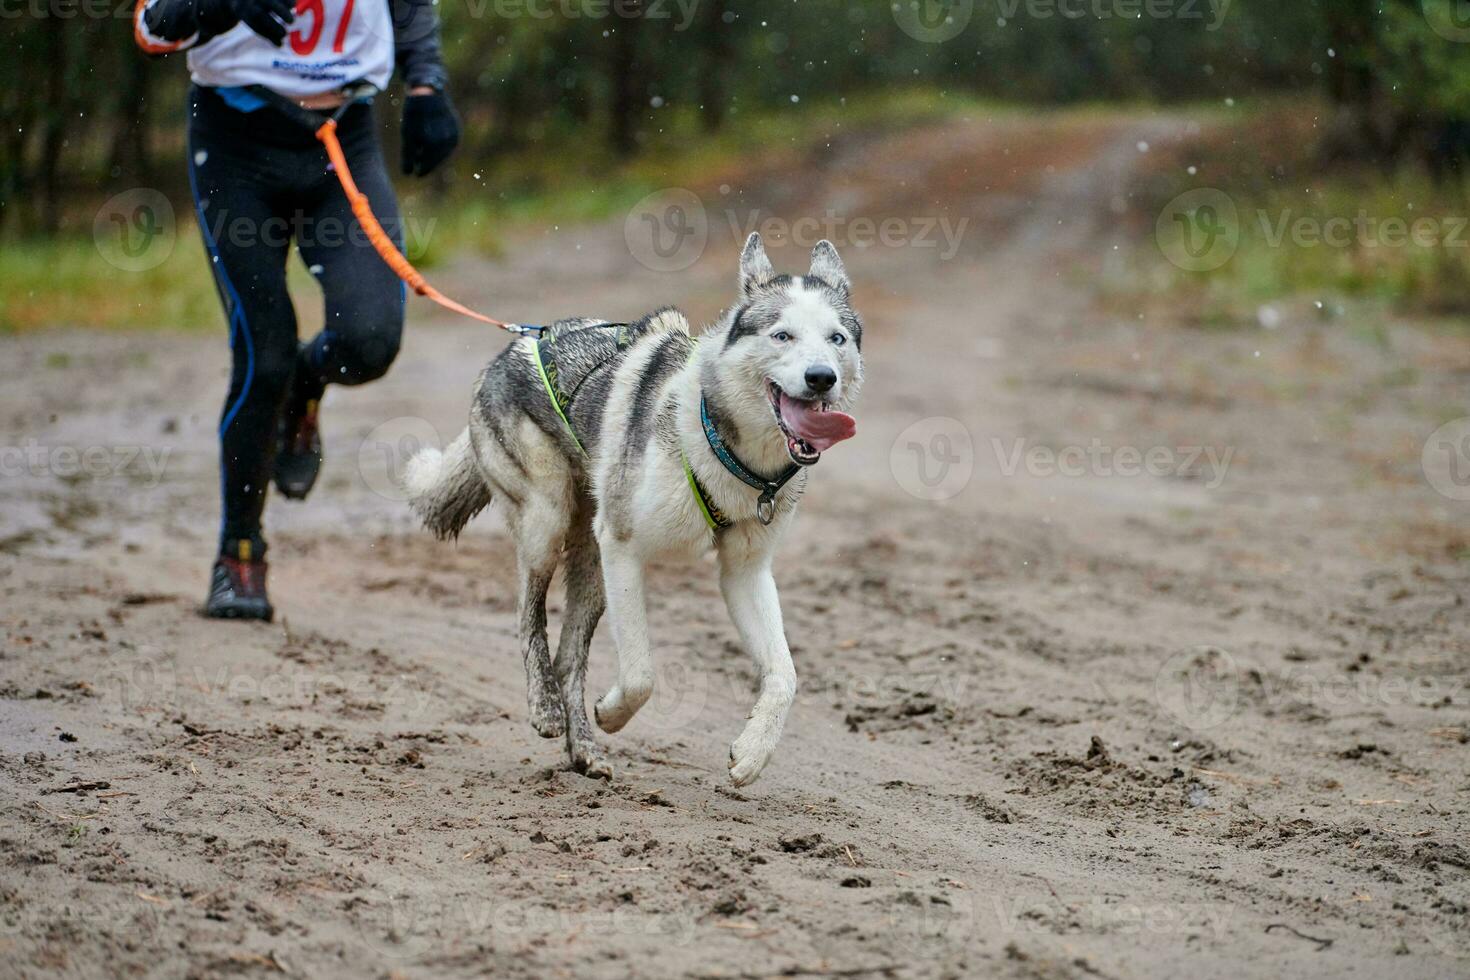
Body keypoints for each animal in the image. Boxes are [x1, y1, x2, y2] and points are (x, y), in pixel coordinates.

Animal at [402, 233, 858, 787]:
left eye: (837, 339)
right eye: (782, 335)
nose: (821, 378)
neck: (722, 442)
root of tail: (515, 346)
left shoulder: (745, 573)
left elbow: (786, 675)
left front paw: (753, 753)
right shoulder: (623, 548)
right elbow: (641, 673)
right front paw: (613, 713)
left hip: (592, 567)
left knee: (568, 658)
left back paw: (583, 751)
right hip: (548, 525)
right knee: (528, 617)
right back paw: (546, 709)